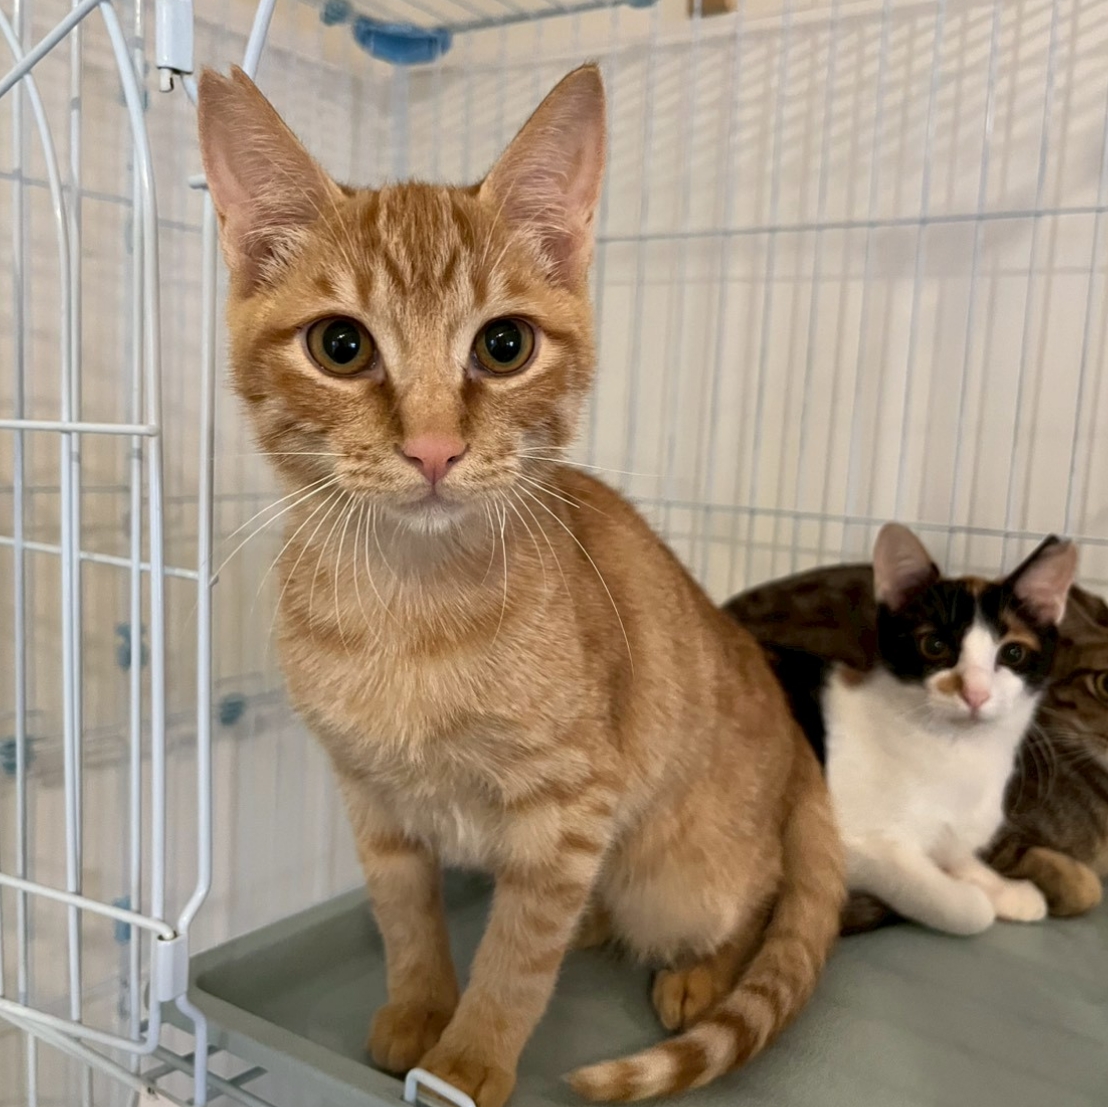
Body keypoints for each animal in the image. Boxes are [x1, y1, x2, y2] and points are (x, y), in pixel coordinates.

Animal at [197, 64, 844, 1107]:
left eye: (504, 346)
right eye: (341, 345)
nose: (431, 447)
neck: (409, 603)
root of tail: (798, 751)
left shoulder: (569, 808)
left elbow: (515, 957)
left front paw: (466, 1060)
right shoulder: (373, 802)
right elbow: (408, 917)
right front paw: (419, 1009)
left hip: (684, 875)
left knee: (758, 895)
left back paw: (704, 972)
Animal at [724, 523, 1075, 936]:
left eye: (1013, 653)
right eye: (934, 645)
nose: (975, 693)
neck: (957, 751)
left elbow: (956, 852)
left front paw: (1004, 889)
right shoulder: (852, 843)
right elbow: (961, 907)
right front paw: (978, 898)